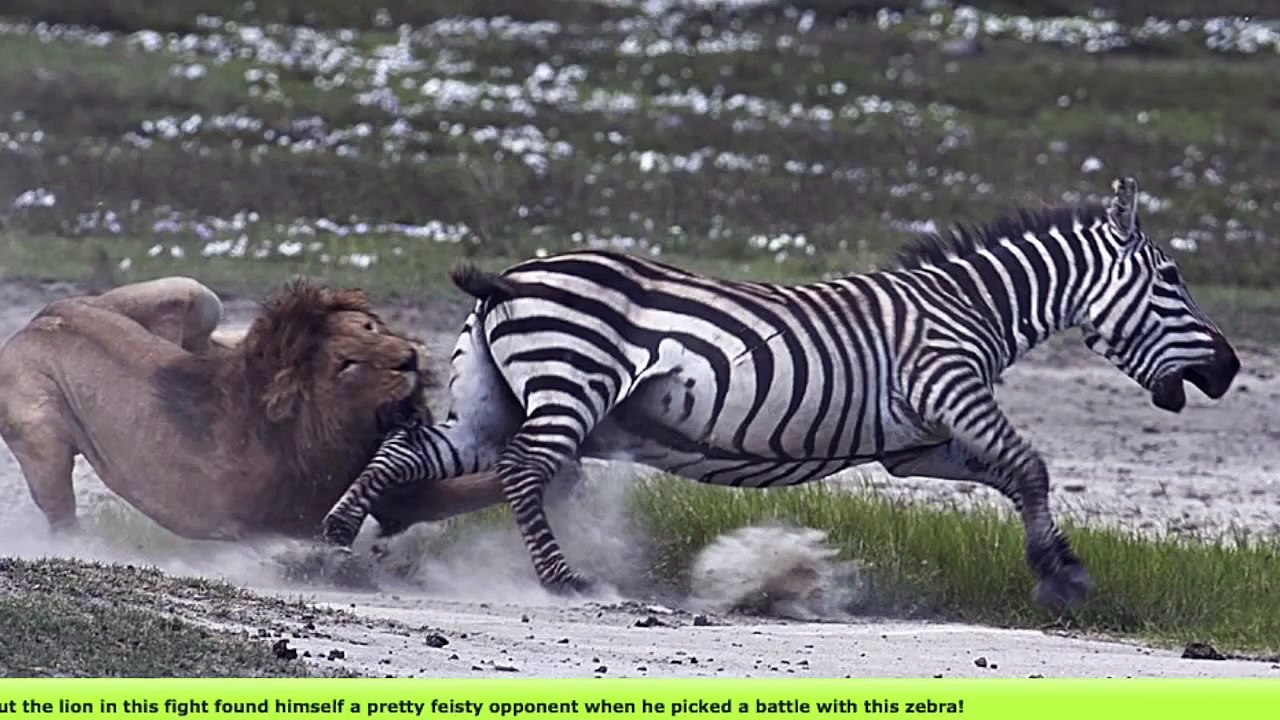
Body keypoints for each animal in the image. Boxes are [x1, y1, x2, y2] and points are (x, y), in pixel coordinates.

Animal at [0, 276, 507, 541]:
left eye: (370, 327)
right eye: (348, 363)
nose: (409, 358)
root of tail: (39, 320)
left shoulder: (399, 496)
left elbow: (485, 484)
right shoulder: (290, 520)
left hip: (195, 295)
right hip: (40, 434)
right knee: (60, 510)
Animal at [320, 176, 1240, 612]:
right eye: (1172, 278)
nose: (1230, 371)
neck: (970, 306)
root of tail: (512, 276)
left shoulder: (917, 447)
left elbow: (1014, 479)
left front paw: (1060, 567)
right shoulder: (951, 388)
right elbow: (1034, 466)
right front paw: (1061, 575)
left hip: (490, 401)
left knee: (413, 448)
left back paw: (335, 538)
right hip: (568, 386)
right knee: (522, 470)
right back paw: (563, 582)